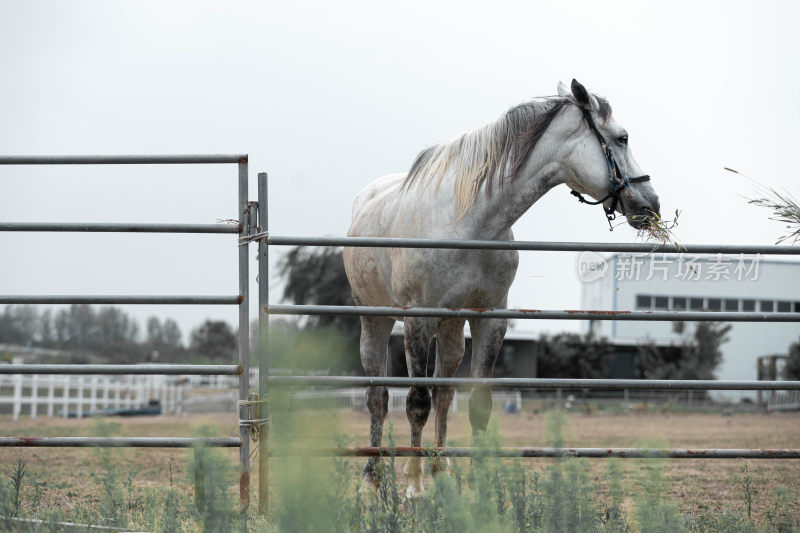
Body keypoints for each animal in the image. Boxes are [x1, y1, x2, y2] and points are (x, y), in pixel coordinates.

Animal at [340, 80, 660, 498]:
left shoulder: (489, 320)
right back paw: (373, 481)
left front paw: (476, 490)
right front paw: (414, 486)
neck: (469, 222)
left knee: (444, 396)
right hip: (375, 322)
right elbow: (415, 403)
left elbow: (476, 405)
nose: (652, 204)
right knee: (378, 398)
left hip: (451, 329)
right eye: (622, 138)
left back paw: (441, 473)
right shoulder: (418, 322)